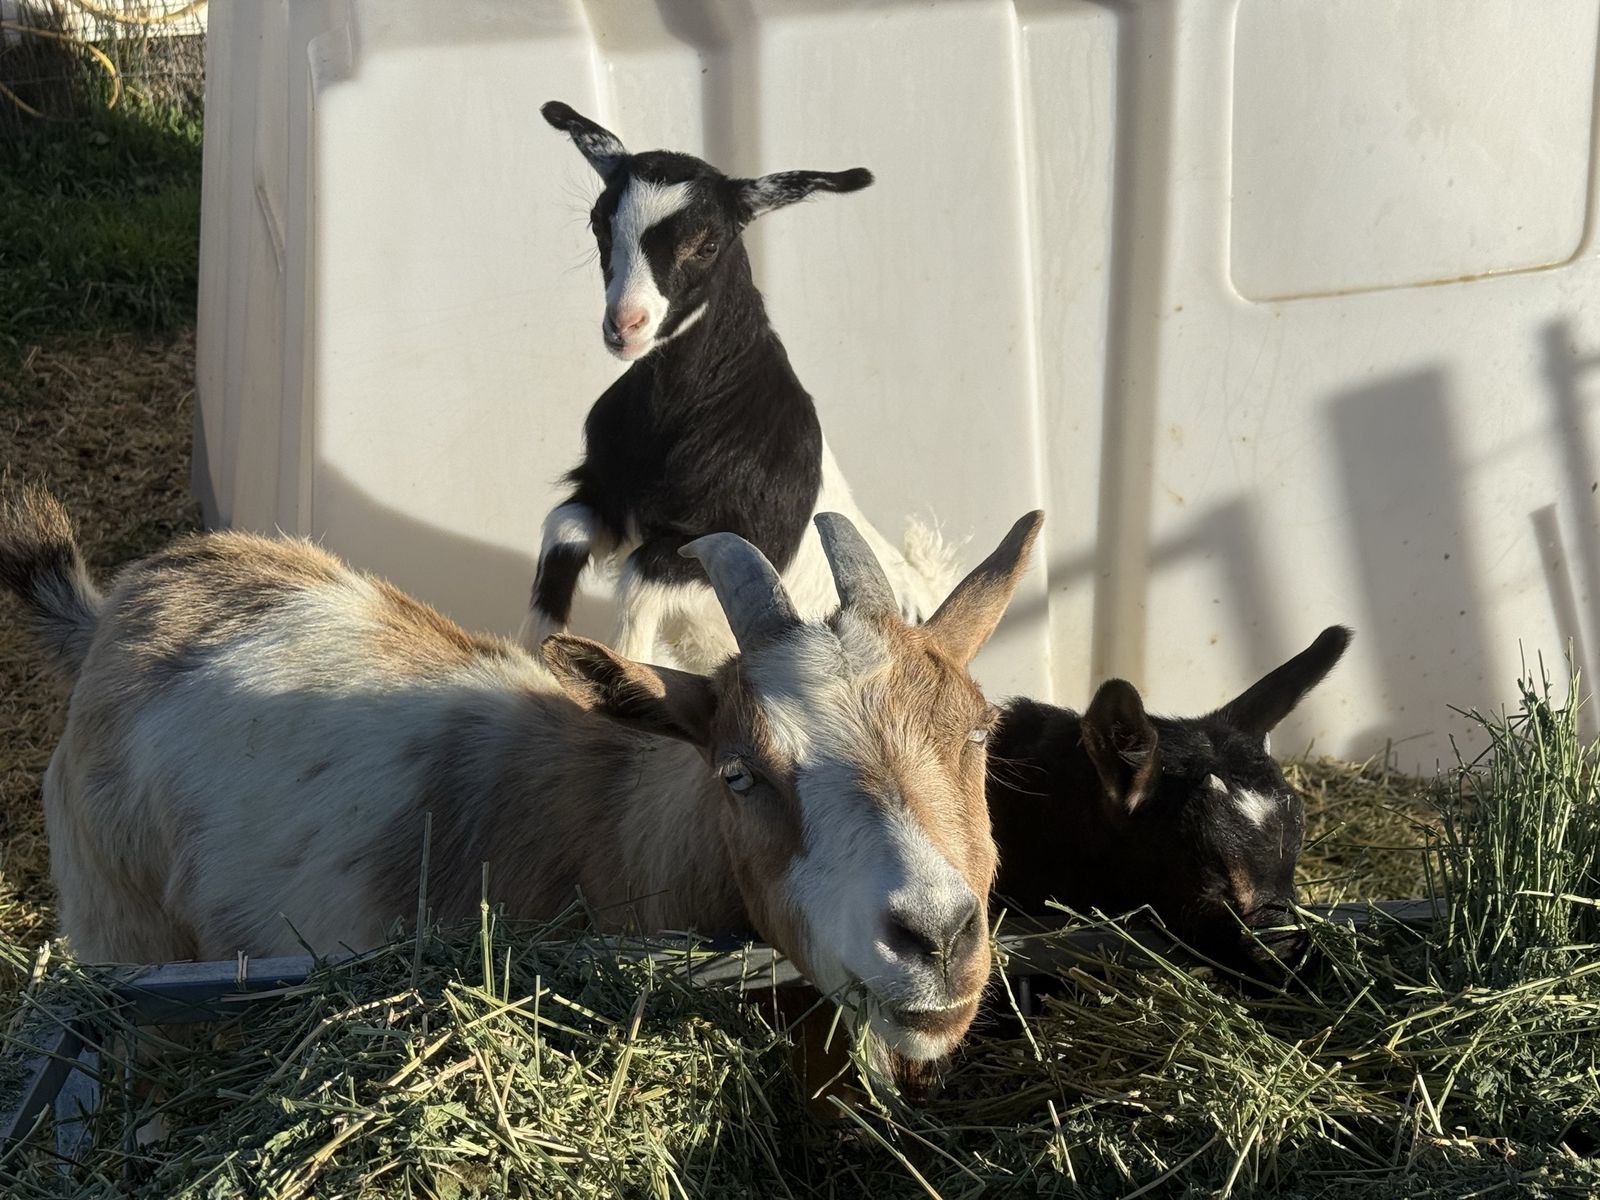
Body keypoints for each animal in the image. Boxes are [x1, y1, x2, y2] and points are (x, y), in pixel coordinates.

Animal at [0, 486, 1041, 1064]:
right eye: (740, 772)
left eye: (980, 729)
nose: (936, 938)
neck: (617, 816)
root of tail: (111, 614)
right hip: (123, 936)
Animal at [516, 102, 955, 671]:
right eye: (598, 223)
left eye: (708, 244)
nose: (625, 325)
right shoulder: (605, 491)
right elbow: (563, 528)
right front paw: (528, 655)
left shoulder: (721, 538)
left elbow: (637, 581)